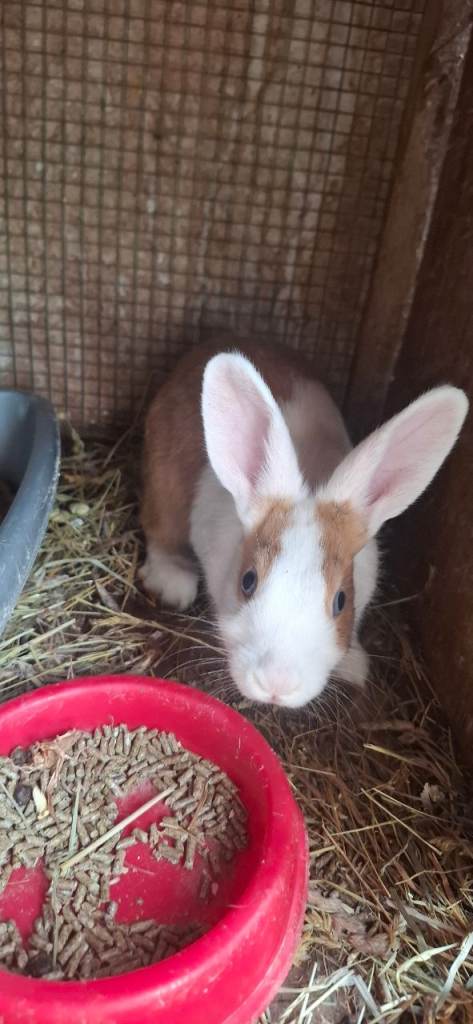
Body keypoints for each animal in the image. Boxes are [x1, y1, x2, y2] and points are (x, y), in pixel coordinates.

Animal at [140, 341, 468, 708]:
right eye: (248, 581)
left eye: (341, 601)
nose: (276, 684)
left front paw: (354, 667)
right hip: (164, 486)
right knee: (160, 531)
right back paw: (173, 583)